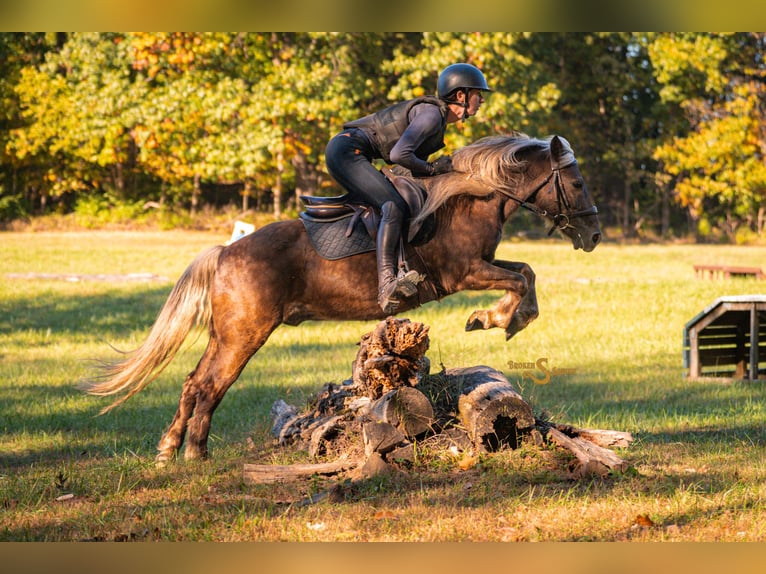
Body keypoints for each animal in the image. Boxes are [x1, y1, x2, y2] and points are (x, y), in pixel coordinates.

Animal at [83, 134, 601, 462]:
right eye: (577, 183)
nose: (594, 236)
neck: (471, 196)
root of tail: (226, 251)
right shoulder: (465, 272)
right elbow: (521, 280)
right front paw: (498, 319)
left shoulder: (482, 265)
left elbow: (525, 272)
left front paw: (498, 318)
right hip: (244, 334)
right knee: (211, 385)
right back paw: (193, 452)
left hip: (226, 333)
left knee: (194, 382)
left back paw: (171, 449)